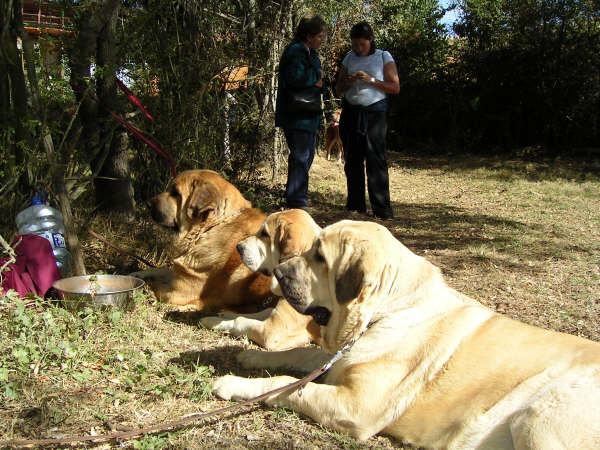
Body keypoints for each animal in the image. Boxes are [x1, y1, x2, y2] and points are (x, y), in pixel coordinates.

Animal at [133, 170, 272, 312]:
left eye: (175, 193)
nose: (148, 204)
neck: (209, 228)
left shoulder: (180, 291)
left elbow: (157, 286)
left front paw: (147, 289)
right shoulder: (180, 275)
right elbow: (160, 270)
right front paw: (137, 274)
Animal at [200, 209, 324, 350]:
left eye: (265, 234)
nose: (239, 247)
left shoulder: (270, 332)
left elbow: (240, 321)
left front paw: (211, 321)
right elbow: (260, 313)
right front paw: (226, 315)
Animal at [213, 221, 600, 446]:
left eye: (320, 256)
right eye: (311, 248)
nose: (279, 273)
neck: (383, 312)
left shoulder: (357, 406)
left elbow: (288, 385)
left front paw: (234, 383)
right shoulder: (338, 357)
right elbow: (297, 355)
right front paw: (251, 356)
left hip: (537, 418)